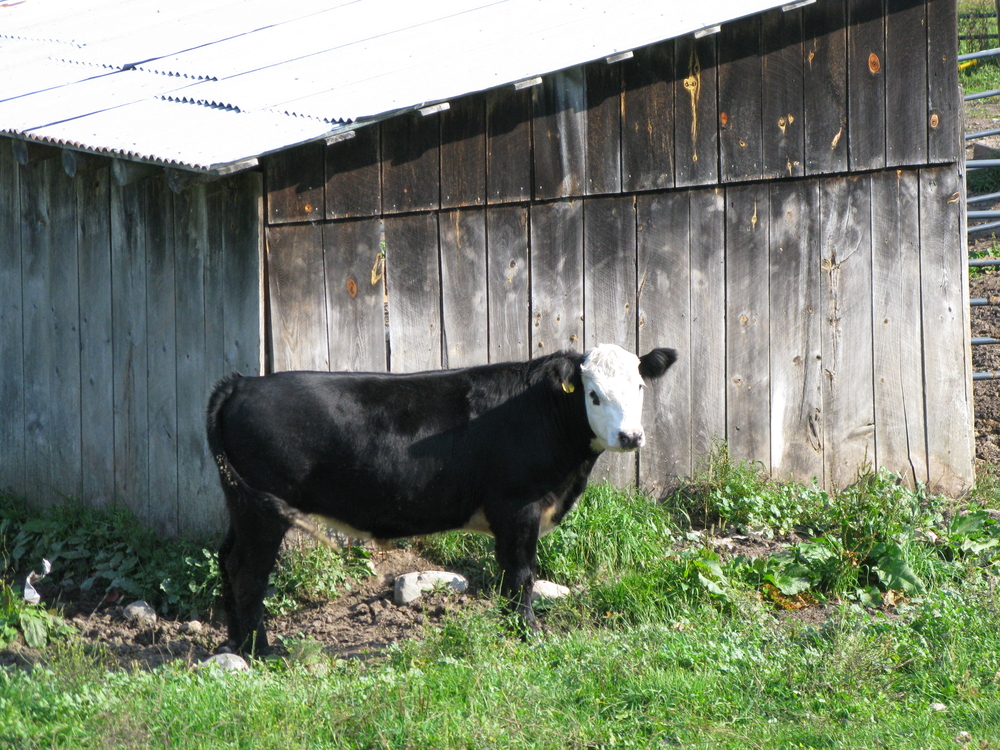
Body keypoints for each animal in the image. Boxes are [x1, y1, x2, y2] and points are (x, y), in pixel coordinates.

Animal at [206, 344, 676, 655]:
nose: (630, 436)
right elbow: (521, 574)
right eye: (593, 394)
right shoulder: (517, 506)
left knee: (227, 559)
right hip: (264, 514)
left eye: (639, 385)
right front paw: (528, 634)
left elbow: (508, 576)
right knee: (248, 572)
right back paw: (261, 650)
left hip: (241, 504)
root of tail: (242, 384)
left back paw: (234, 642)